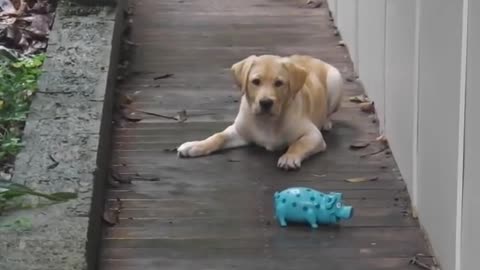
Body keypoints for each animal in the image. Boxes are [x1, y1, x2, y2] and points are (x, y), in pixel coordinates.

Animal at [178, 53, 344, 170]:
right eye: (256, 82)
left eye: (279, 83)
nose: (265, 103)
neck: (267, 121)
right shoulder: (239, 132)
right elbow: (218, 136)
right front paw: (195, 146)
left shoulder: (313, 135)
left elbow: (299, 144)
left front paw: (289, 157)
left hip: (335, 80)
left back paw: (326, 122)